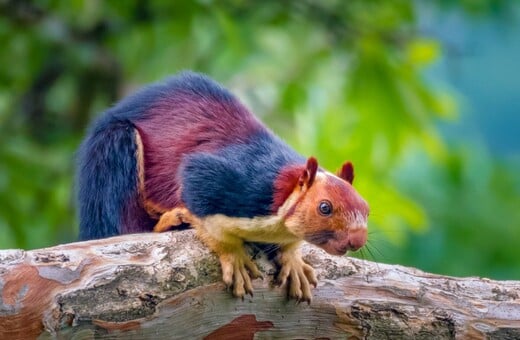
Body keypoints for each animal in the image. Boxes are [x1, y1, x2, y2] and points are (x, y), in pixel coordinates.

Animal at [78, 70, 370, 302]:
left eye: (367, 208)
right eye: (324, 207)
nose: (357, 239)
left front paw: (293, 259)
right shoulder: (228, 181)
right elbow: (205, 210)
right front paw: (234, 256)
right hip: (114, 153)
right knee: (123, 226)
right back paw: (171, 221)